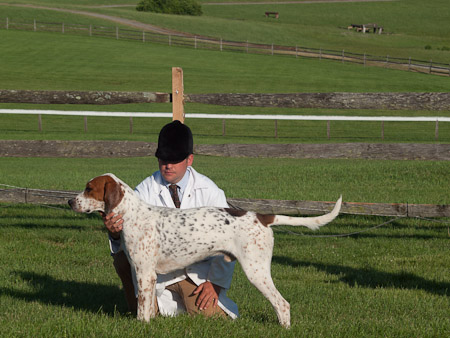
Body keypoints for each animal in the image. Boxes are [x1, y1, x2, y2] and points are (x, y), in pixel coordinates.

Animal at [69, 174, 342, 328]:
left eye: (89, 188)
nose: (70, 201)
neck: (133, 214)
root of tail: (262, 217)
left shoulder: (145, 273)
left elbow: (142, 310)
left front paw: (141, 325)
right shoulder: (146, 275)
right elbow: (147, 307)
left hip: (257, 271)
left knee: (282, 304)